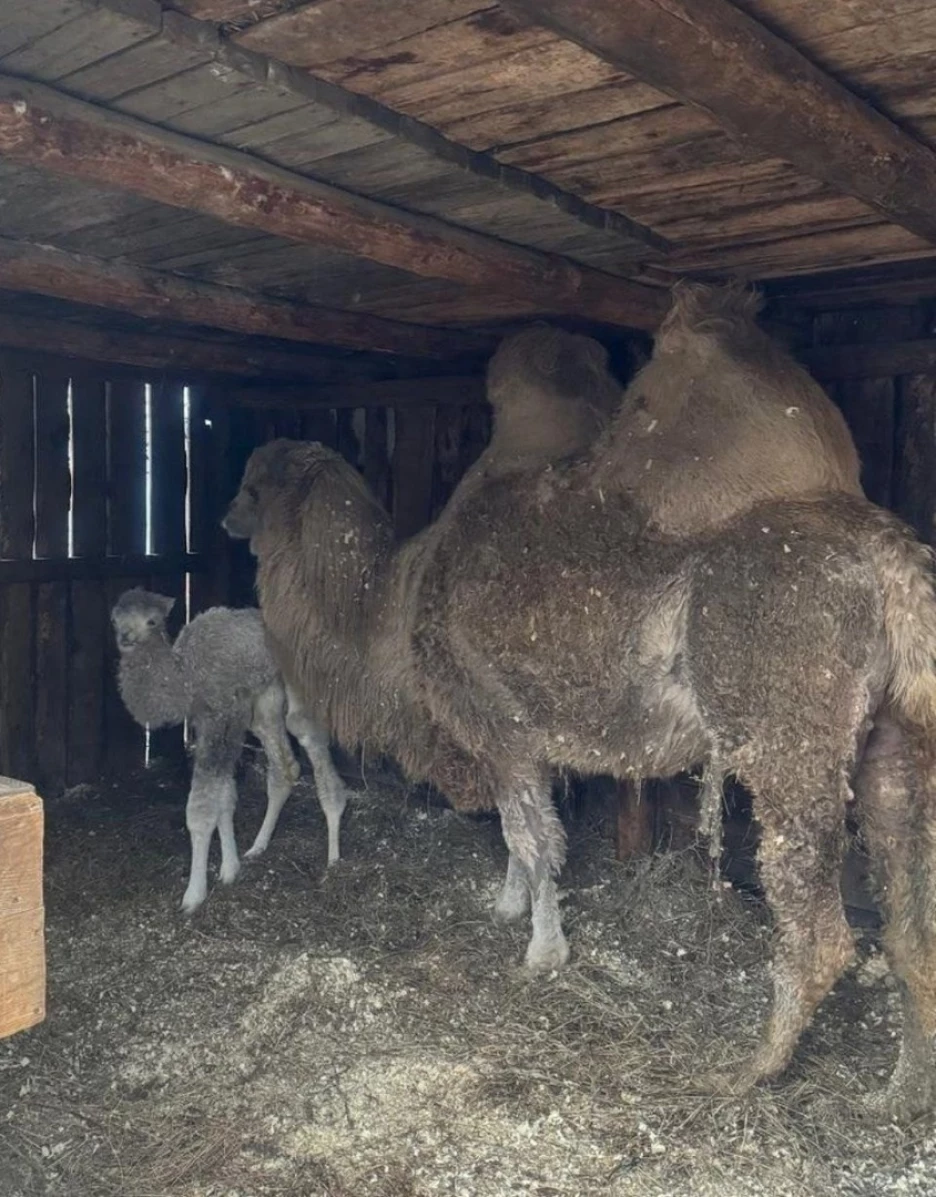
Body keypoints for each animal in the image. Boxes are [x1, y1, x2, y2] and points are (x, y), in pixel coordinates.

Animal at [112, 591, 347, 914]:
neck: (186, 676)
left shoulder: (221, 720)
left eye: (152, 621)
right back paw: (258, 846)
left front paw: (193, 896)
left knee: (308, 736)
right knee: (285, 767)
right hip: (265, 702)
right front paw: (230, 869)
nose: (126, 638)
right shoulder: (210, 723)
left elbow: (201, 810)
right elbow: (225, 798)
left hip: (297, 690)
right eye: (115, 619)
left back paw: (333, 858)